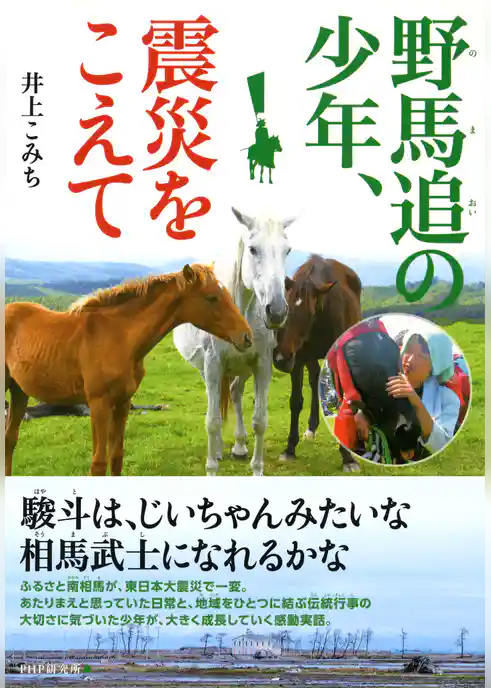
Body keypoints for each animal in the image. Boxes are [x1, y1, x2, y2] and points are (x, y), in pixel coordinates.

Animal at [4, 264, 253, 477]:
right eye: (212, 298)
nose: (247, 337)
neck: (118, 338)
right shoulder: (98, 405)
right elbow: (98, 463)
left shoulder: (123, 402)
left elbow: (116, 457)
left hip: (19, 391)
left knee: (9, 438)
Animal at [173, 208, 294, 476]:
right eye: (253, 249)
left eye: (287, 250)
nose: (277, 312)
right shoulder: (212, 364)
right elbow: (212, 421)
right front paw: (211, 468)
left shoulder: (262, 364)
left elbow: (260, 421)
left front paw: (257, 469)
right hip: (207, 368)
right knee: (219, 401)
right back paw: (218, 450)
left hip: (243, 367)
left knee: (235, 392)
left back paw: (239, 446)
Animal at [272, 255, 362, 472]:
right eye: (285, 309)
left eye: (309, 312)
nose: (281, 359)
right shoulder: (297, 360)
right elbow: (296, 401)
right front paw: (289, 449)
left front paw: (348, 457)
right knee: (314, 379)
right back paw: (311, 428)